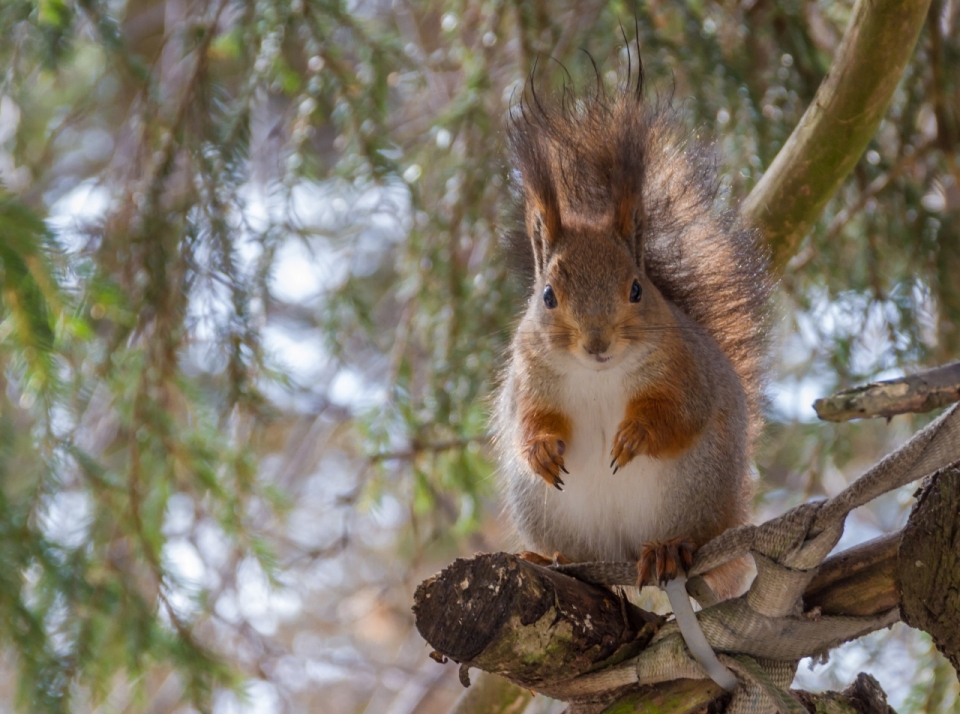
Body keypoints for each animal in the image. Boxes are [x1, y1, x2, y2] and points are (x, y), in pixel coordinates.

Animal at [496, 62, 772, 600]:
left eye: (637, 289)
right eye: (547, 296)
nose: (597, 343)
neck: (598, 376)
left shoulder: (685, 372)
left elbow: (679, 415)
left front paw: (635, 436)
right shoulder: (528, 379)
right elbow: (529, 421)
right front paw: (540, 450)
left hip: (694, 494)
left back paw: (667, 549)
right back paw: (555, 558)